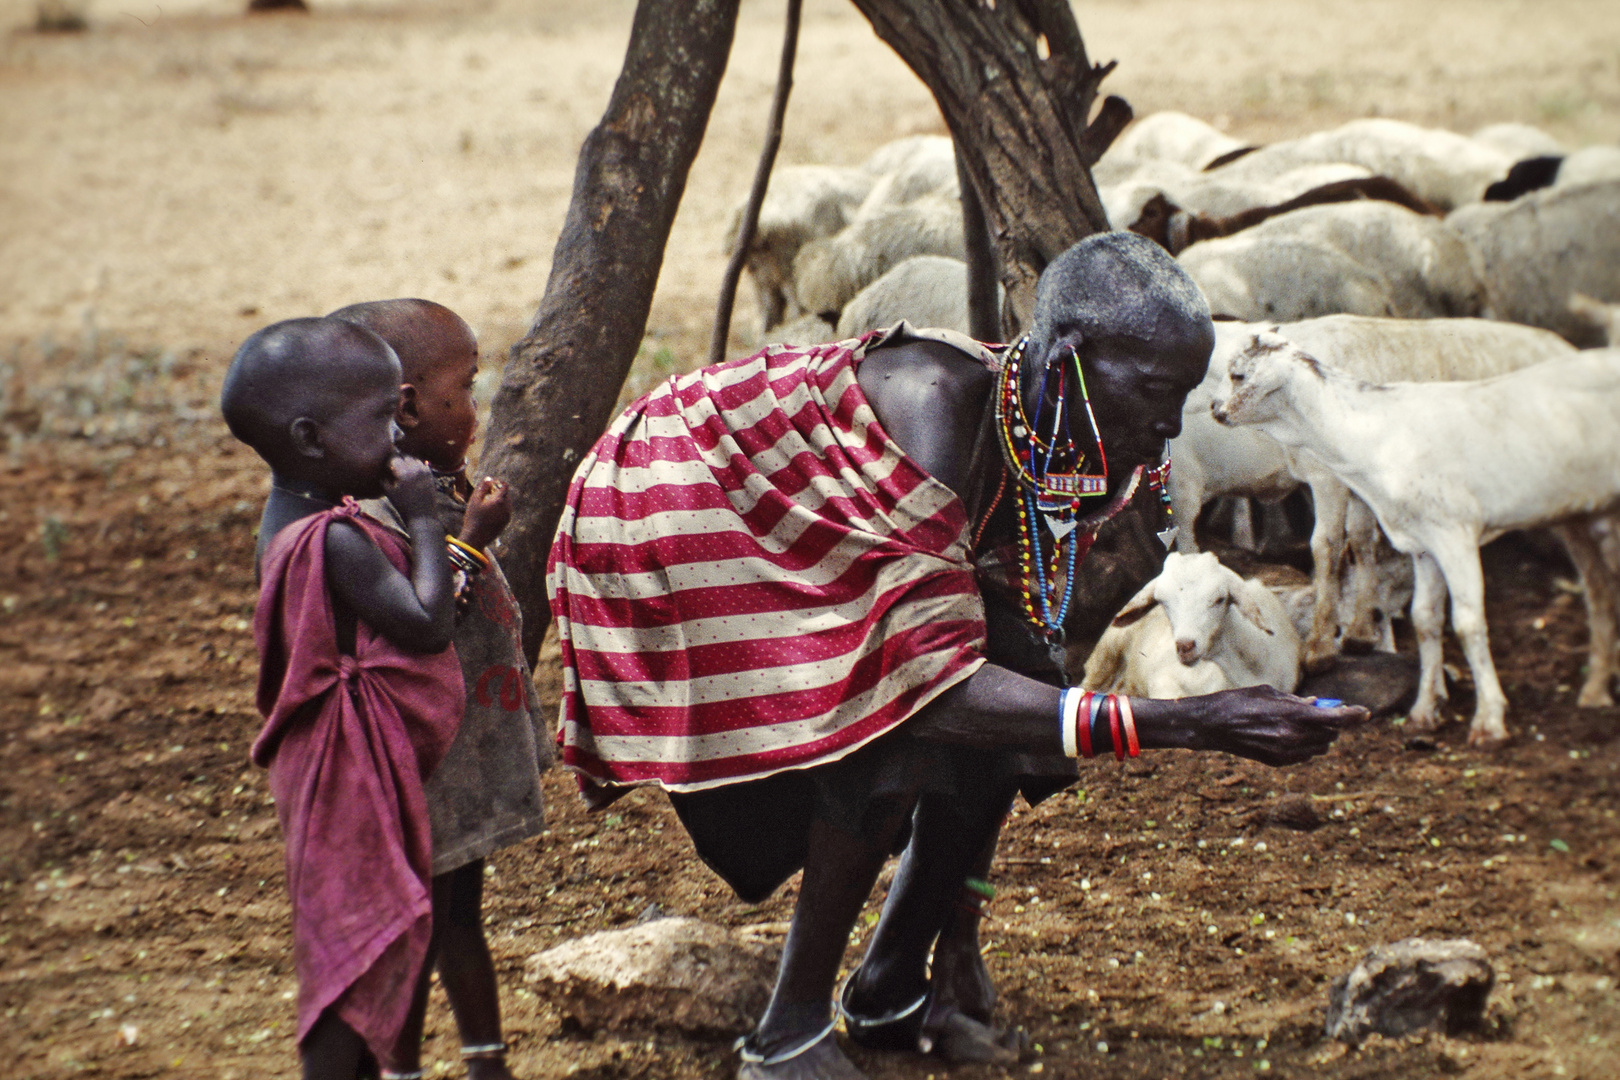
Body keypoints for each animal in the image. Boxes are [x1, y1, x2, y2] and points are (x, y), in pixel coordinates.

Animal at [1172, 312, 1574, 670]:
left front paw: (1320, 646)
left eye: (1236, 374)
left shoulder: (1325, 479)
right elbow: (1362, 542)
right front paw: (1360, 633)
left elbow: (1327, 547)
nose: (1215, 408)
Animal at [1218, 333, 1620, 748]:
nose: (1217, 411)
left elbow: (1467, 623)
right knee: (1600, 591)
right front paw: (1424, 712)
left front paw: (1489, 721)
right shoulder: (1423, 542)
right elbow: (1424, 618)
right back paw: (1595, 690)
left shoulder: (1454, 532)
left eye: (1237, 374)